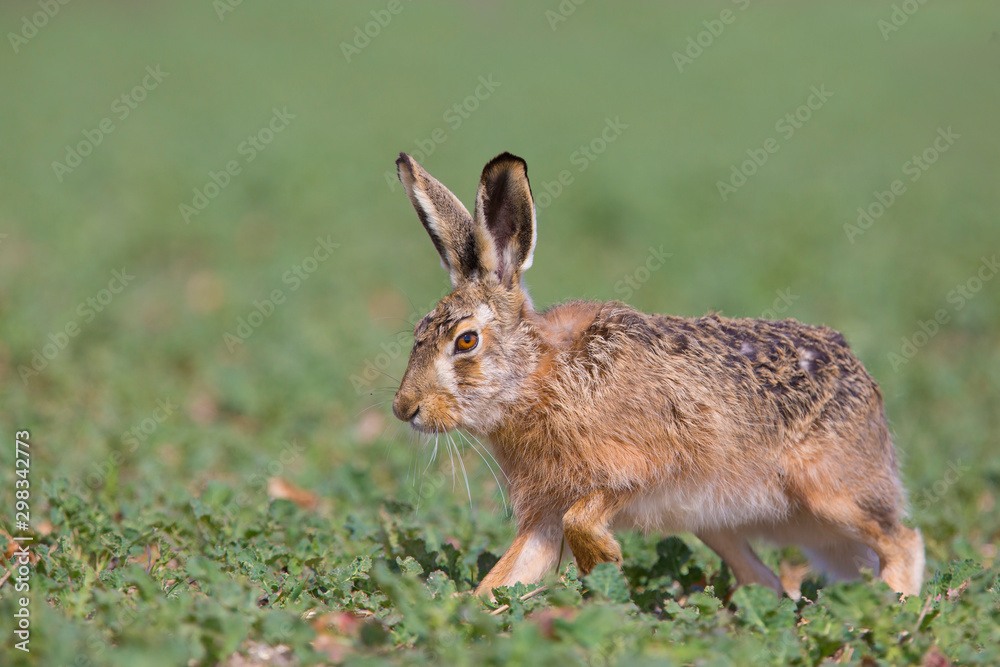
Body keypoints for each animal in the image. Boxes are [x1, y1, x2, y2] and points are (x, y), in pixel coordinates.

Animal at [390, 151, 925, 599]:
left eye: (466, 341)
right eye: (418, 331)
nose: (404, 408)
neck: (538, 378)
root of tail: (865, 381)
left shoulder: (644, 465)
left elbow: (583, 517)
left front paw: (603, 559)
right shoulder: (544, 511)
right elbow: (512, 572)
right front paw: (470, 611)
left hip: (832, 495)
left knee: (904, 540)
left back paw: (892, 606)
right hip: (718, 522)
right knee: (765, 580)